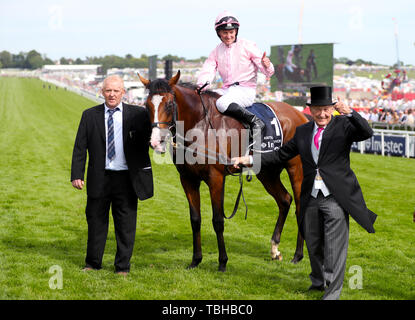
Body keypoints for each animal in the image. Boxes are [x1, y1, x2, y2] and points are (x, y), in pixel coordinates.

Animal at [139, 71, 308, 272]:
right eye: (147, 105)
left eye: (169, 104)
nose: (155, 141)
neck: (199, 125)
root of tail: (299, 114)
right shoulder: (188, 179)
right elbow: (195, 219)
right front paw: (195, 260)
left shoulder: (216, 178)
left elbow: (218, 220)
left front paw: (222, 262)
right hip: (267, 172)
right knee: (284, 200)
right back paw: (275, 249)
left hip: (295, 168)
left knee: (300, 206)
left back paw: (298, 255)